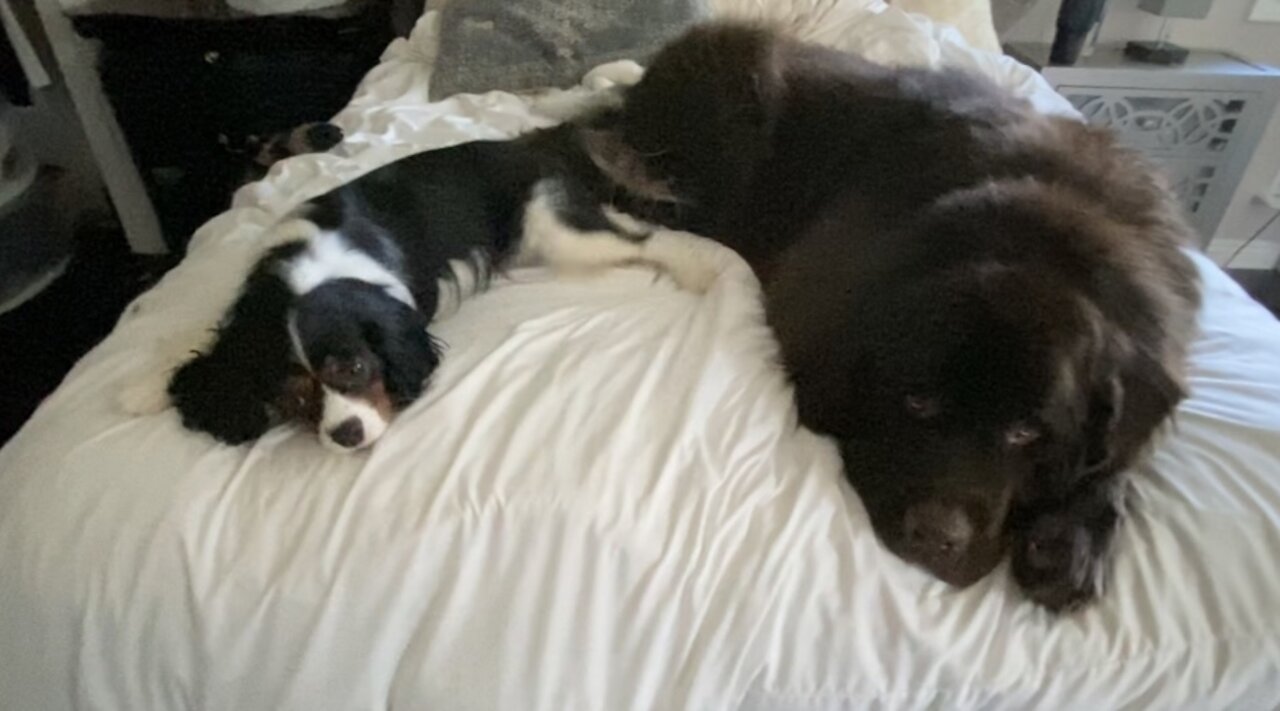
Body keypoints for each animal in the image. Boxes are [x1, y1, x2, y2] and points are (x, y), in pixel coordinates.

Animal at [586, 23, 1203, 612]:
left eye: (1027, 432)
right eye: (917, 402)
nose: (936, 536)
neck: (1039, 234)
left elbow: (1119, 459)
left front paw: (1070, 544)